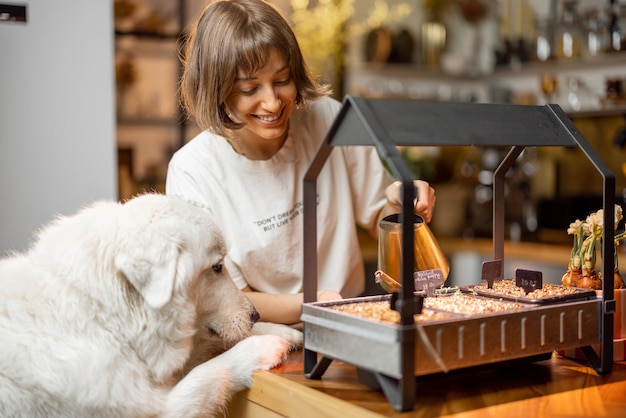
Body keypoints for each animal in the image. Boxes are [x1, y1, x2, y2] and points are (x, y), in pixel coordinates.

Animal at [0, 194, 302, 418]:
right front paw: (260, 348)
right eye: (217, 267)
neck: (106, 318)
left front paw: (285, 332)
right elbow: (210, 373)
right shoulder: (161, 407)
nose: (255, 314)